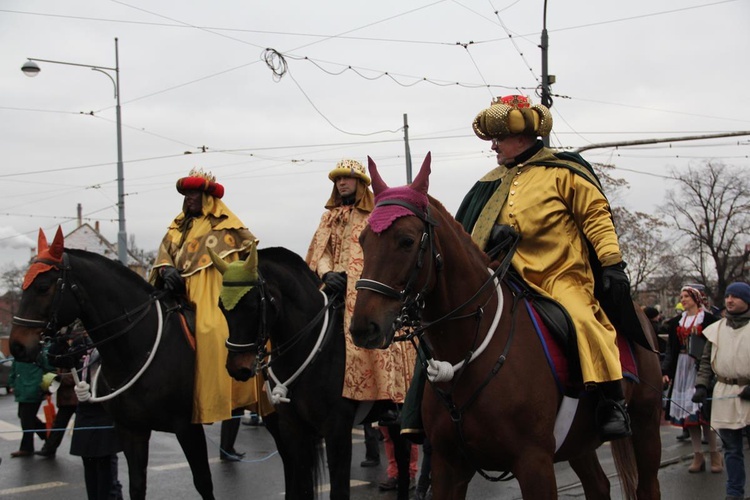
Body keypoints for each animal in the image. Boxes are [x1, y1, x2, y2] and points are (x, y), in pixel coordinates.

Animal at [9, 229, 214, 500]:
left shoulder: (188, 428)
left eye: (43, 287)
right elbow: (137, 485)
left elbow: (203, 482)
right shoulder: (131, 431)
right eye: (23, 284)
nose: (16, 346)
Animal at [210, 245, 412, 500]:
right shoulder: (294, 430)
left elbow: (339, 490)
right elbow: (303, 486)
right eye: (221, 306)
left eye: (254, 304)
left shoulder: (337, 430)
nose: (238, 367)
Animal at [350, 154, 660, 498]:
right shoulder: (449, 466)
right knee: (598, 485)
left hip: (646, 425)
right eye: (363, 240)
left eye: (406, 240)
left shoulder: (534, 462)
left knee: (648, 485)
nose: (364, 327)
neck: (469, 350)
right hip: (578, 443)